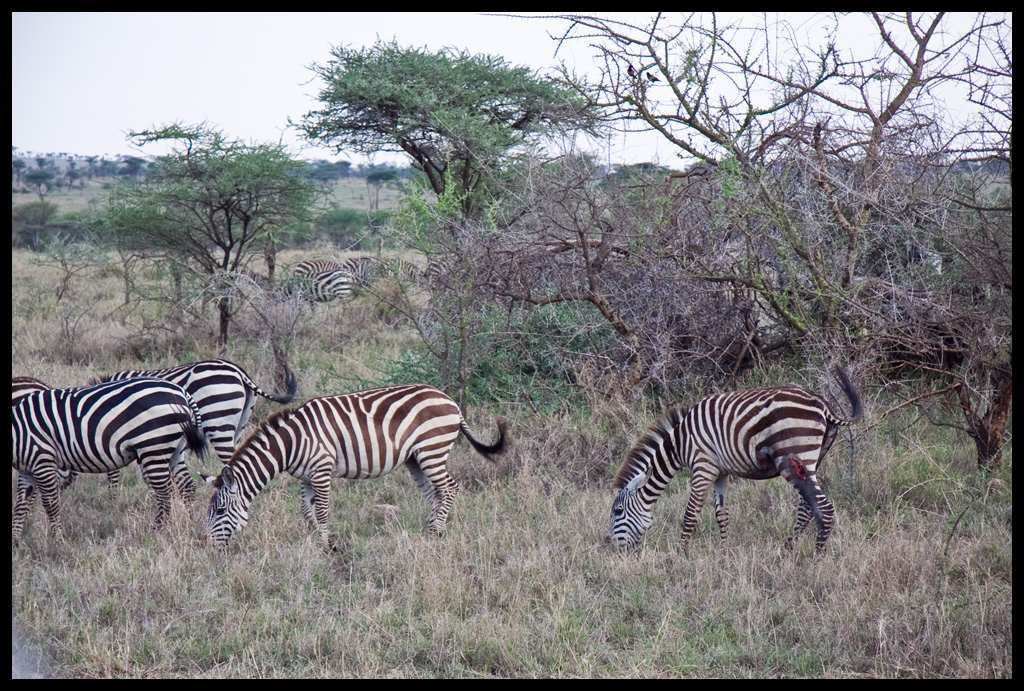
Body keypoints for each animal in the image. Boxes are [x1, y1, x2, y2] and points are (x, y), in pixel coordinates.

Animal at [12, 378, 208, 544]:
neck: (18, 432)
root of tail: (182, 392)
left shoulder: (42, 460)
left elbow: (50, 503)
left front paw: (58, 540)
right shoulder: (27, 469)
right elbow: (21, 503)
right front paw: (15, 541)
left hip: (153, 446)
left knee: (165, 493)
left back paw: (156, 531)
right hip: (176, 448)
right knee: (187, 486)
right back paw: (188, 523)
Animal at [202, 384, 507, 549]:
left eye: (220, 511)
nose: (210, 549)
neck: (290, 444)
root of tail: (450, 401)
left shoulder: (322, 469)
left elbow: (321, 510)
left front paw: (327, 545)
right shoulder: (306, 477)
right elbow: (306, 511)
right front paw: (319, 542)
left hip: (433, 450)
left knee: (450, 488)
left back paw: (436, 532)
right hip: (415, 458)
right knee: (434, 494)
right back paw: (433, 531)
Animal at [606, 367, 862, 553]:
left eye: (618, 511)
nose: (610, 547)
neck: (679, 443)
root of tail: (823, 404)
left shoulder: (703, 466)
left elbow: (691, 514)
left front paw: (680, 555)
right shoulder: (720, 472)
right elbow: (721, 515)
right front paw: (724, 552)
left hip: (794, 455)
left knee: (823, 508)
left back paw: (817, 556)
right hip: (812, 459)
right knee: (808, 506)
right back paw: (789, 548)